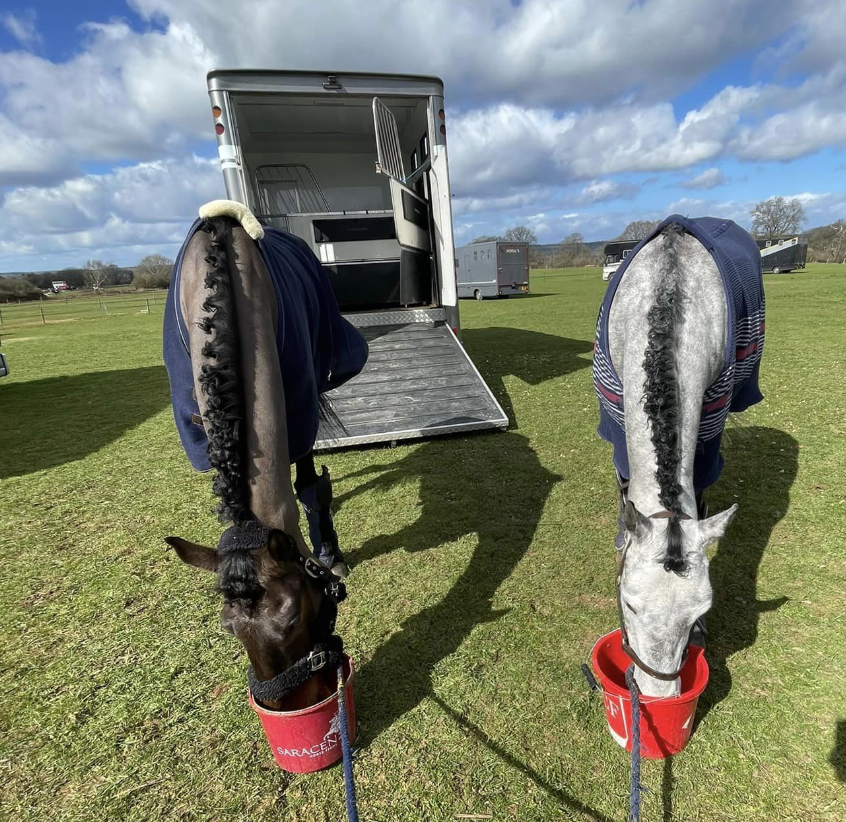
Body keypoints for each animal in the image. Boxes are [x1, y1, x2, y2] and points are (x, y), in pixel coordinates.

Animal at [162, 201, 368, 707]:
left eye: (293, 618)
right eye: (227, 627)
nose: (283, 705)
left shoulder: (300, 402)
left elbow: (306, 484)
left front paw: (329, 553)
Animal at [593, 215, 765, 697]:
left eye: (698, 615)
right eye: (629, 604)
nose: (658, 696)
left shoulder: (710, 422)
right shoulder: (617, 423)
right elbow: (625, 493)